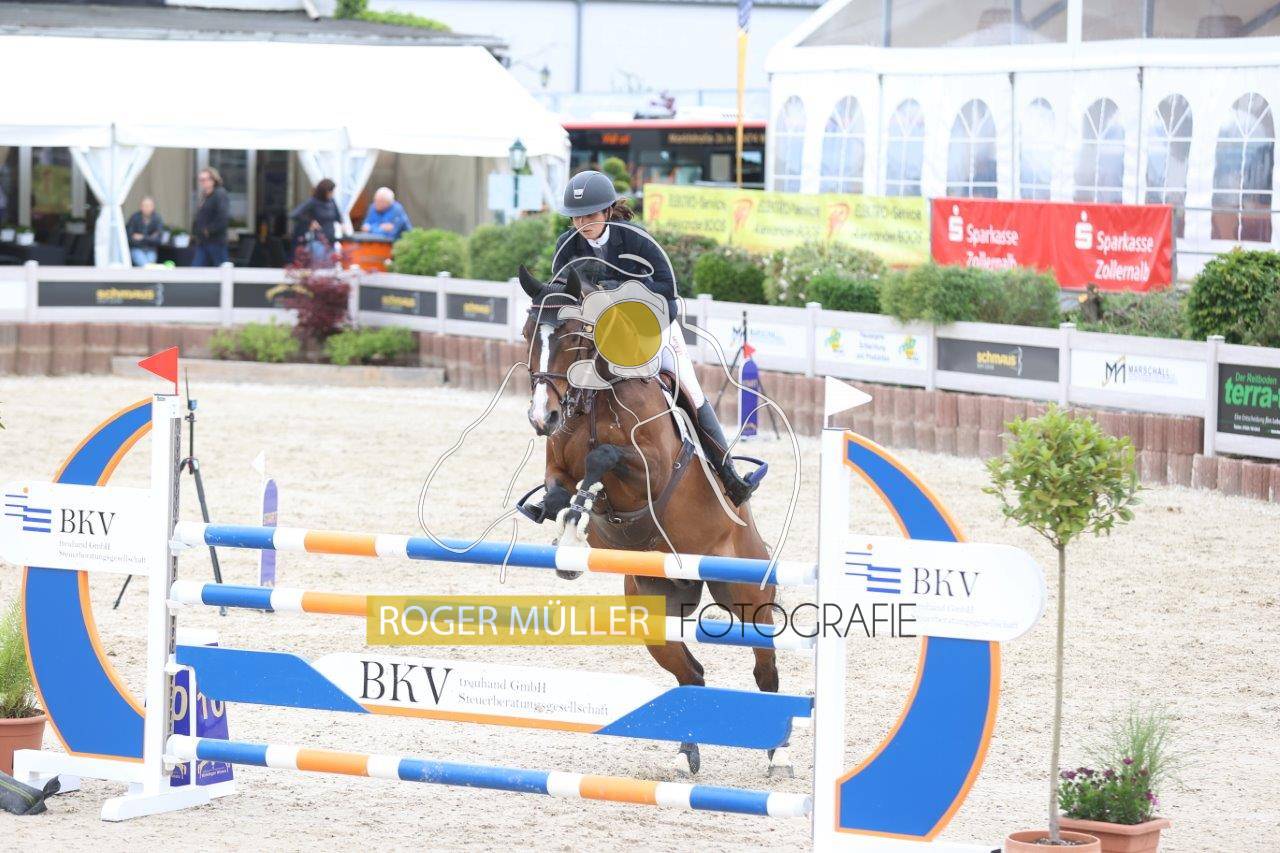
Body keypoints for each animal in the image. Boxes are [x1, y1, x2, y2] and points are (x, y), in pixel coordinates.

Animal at [515, 265, 792, 779]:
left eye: (571, 337)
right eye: (527, 334)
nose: (543, 417)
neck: (595, 398)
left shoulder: (652, 469)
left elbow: (603, 458)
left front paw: (580, 518)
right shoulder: (557, 468)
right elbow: (562, 493)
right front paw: (570, 534)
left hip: (747, 596)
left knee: (765, 669)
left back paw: (778, 755)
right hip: (654, 606)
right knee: (691, 674)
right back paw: (686, 753)